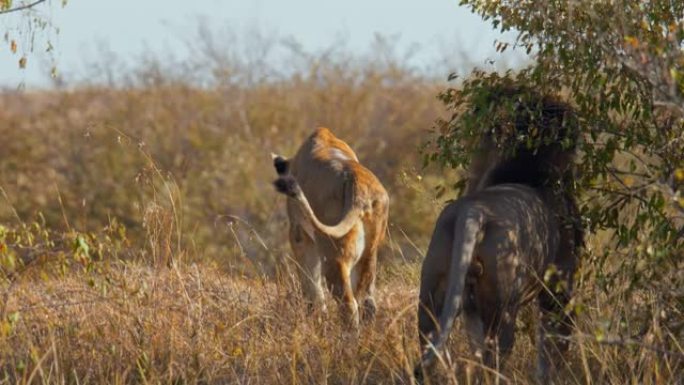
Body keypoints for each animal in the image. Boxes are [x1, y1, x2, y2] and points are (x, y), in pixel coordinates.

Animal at [272, 127, 390, 326]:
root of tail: (357, 186)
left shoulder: (300, 235)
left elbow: (311, 283)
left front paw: (315, 317)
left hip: (333, 252)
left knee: (348, 303)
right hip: (369, 254)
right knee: (368, 302)